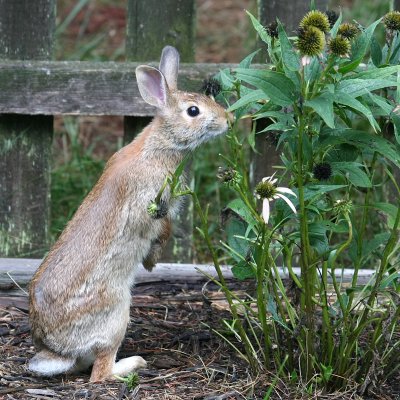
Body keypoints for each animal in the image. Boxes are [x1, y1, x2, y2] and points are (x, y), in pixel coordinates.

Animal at [28, 44, 231, 382]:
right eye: (193, 111)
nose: (228, 119)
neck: (162, 145)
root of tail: (58, 350)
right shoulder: (152, 206)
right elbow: (162, 229)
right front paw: (151, 262)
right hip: (116, 314)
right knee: (101, 372)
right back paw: (134, 363)